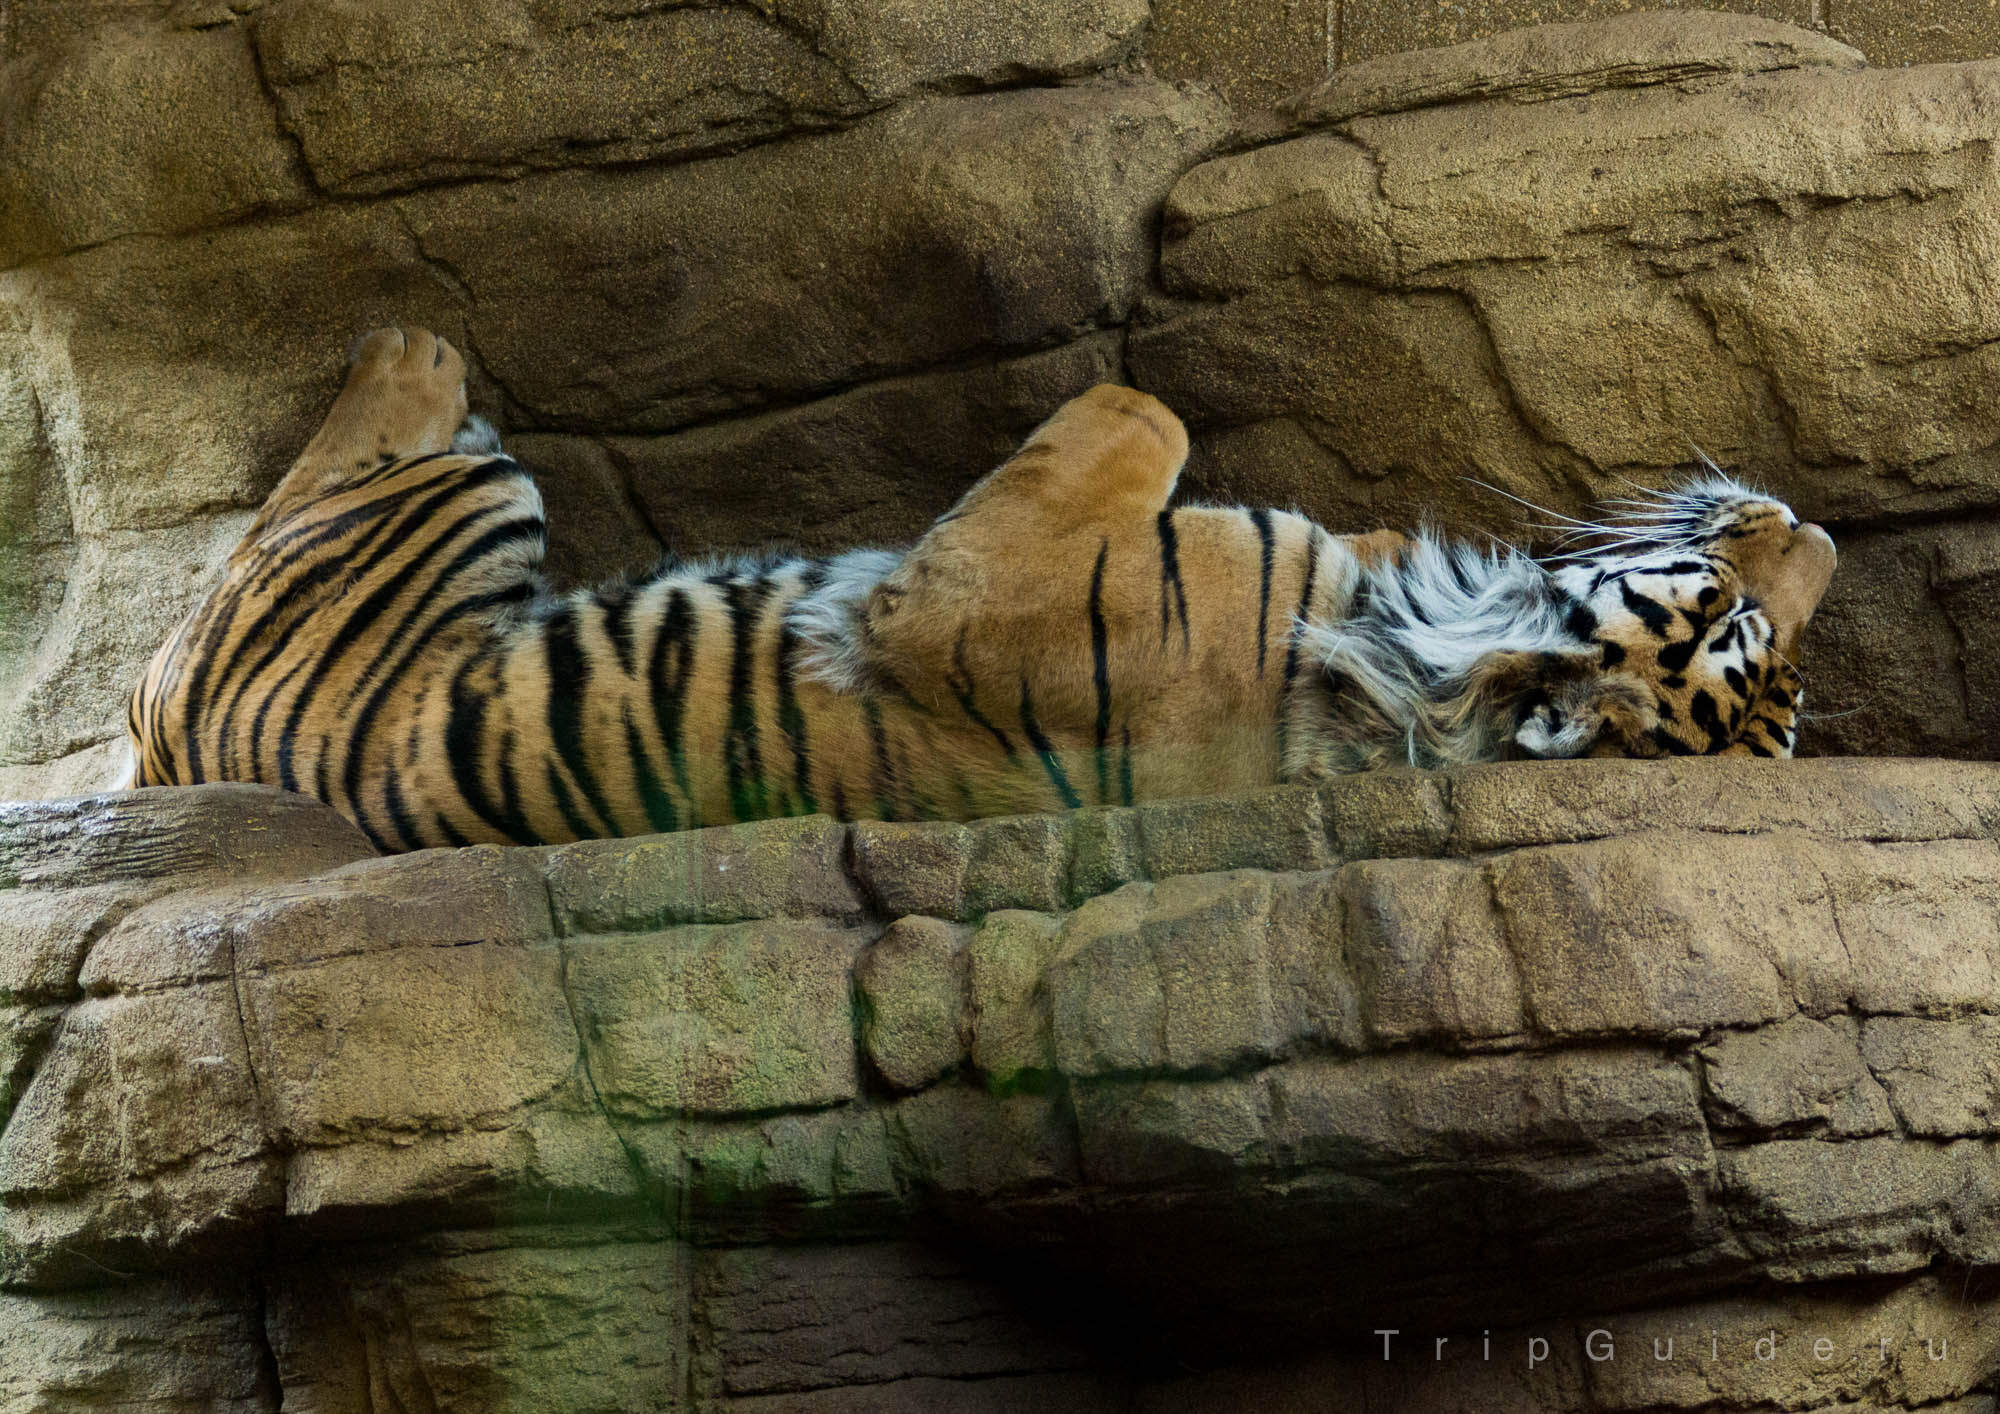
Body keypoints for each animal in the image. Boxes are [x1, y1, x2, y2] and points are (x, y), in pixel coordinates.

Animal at [124, 326, 1836, 853]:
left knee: (331, 466)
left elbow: (1142, 409)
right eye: (1748, 618)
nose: (1814, 527)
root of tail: (168, 750)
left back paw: (412, 341)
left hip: (453, 511)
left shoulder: (964, 591)